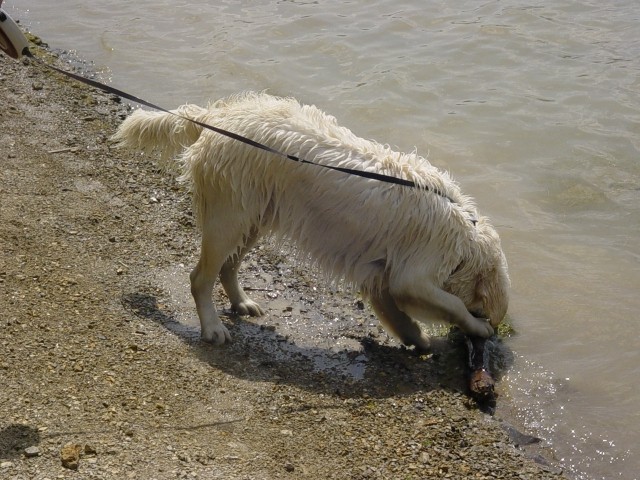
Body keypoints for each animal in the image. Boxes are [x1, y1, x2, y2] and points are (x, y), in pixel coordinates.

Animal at [112, 93, 508, 348]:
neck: (465, 233)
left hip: (253, 217)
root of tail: (217, 118)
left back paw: (242, 303)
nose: (489, 325)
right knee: (200, 278)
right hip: (229, 217)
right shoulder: (413, 276)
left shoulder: (382, 275)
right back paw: (212, 328)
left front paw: (416, 338)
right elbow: (449, 303)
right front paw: (477, 328)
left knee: (228, 267)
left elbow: (391, 307)